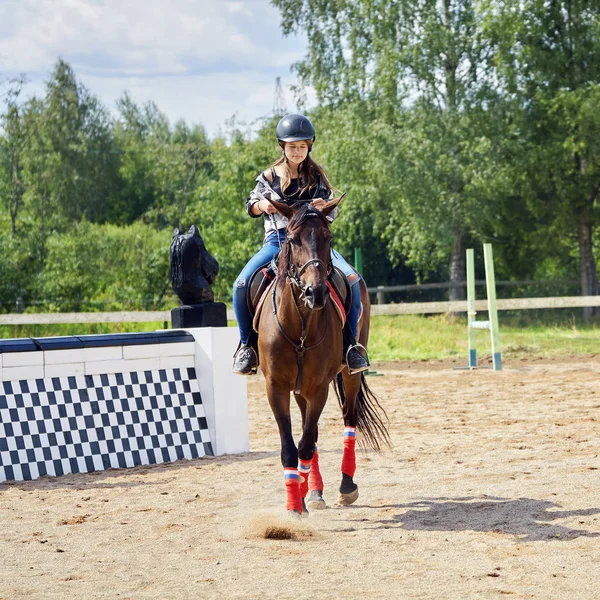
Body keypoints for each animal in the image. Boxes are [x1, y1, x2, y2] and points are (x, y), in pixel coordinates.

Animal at [256, 198, 390, 516]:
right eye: (293, 240)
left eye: (328, 238)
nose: (315, 293)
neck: (300, 326)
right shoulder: (276, 388)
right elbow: (291, 447)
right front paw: (296, 502)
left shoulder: (319, 388)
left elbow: (305, 445)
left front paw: (300, 499)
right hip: (299, 390)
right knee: (311, 433)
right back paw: (313, 491)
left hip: (348, 376)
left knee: (349, 421)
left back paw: (346, 486)